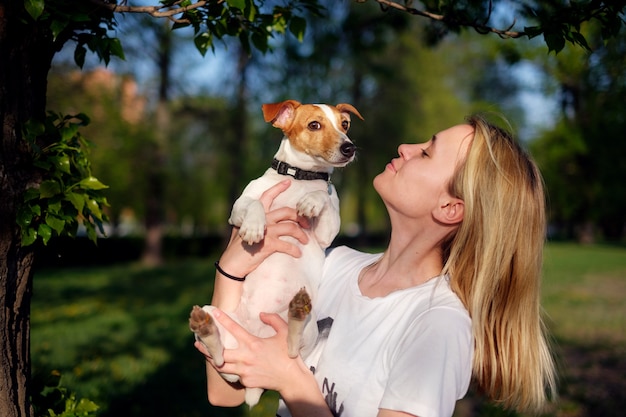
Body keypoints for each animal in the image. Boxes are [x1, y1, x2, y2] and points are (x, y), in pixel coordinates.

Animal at [188, 98, 360, 406]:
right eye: (314, 125)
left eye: (345, 125)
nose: (349, 147)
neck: (301, 179)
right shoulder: (238, 207)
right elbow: (254, 204)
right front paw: (255, 227)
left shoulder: (326, 233)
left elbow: (324, 197)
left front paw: (312, 200)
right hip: (218, 320)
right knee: (222, 363)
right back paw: (206, 328)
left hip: (309, 332)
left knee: (290, 349)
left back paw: (296, 313)